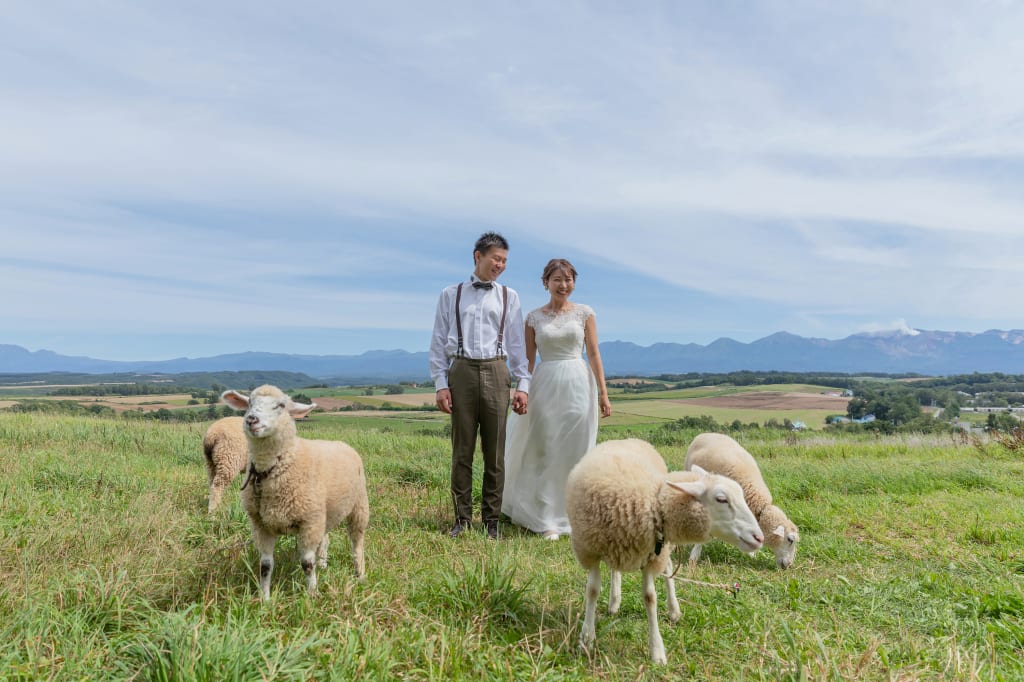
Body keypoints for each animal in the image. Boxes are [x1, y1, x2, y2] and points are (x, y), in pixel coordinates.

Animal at [222, 385, 370, 598]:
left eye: (281, 405)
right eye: (249, 402)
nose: (251, 419)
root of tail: (341, 443)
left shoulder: (309, 522)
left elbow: (307, 564)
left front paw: (312, 596)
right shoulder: (261, 525)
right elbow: (265, 565)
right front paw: (264, 598)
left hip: (359, 506)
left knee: (357, 542)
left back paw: (360, 574)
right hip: (324, 514)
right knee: (325, 540)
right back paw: (323, 565)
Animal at [565, 436, 765, 663]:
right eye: (721, 499)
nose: (759, 538)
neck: (653, 502)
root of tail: (626, 439)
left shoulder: (652, 554)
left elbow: (650, 597)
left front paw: (657, 650)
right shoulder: (589, 549)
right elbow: (592, 590)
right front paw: (586, 637)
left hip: (662, 548)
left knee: (668, 568)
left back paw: (673, 609)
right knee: (616, 569)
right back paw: (614, 601)